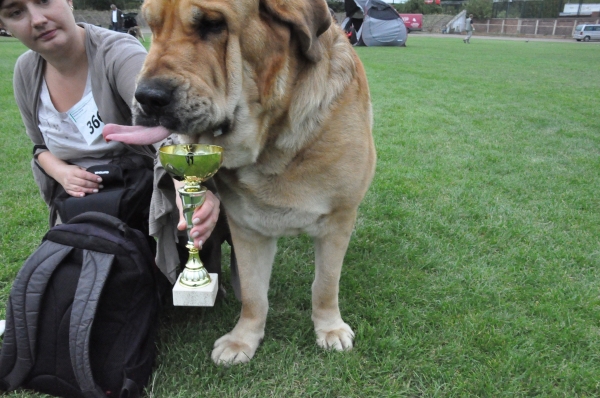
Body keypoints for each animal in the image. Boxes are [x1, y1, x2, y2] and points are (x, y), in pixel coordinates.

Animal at [107, 0, 372, 364]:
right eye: (153, 27)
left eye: (212, 24)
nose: (147, 97)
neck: (274, 145)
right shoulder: (248, 227)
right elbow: (253, 292)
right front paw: (243, 340)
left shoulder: (338, 220)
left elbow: (326, 284)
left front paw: (329, 329)